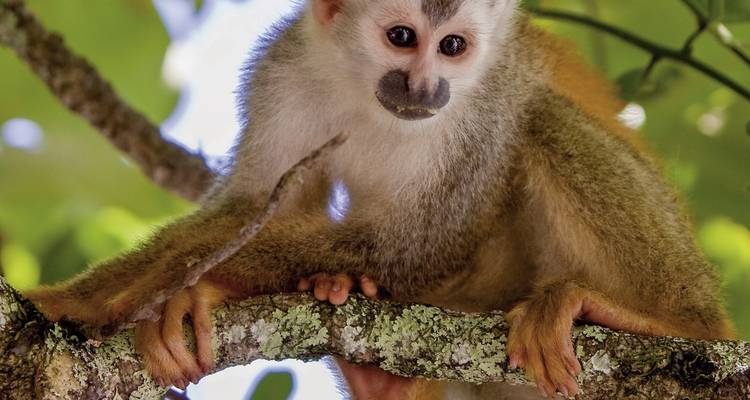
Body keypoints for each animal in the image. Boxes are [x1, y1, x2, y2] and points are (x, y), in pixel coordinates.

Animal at [24, 0, 736, 398]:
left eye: (454, 46)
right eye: (401, 37)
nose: (424, 87)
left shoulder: (482, 112)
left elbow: (410, 247)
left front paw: (188, 291)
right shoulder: (284, 66)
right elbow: (253, 207)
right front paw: (83, 299)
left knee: (539, 118)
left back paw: (675, 320)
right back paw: (372, 360)